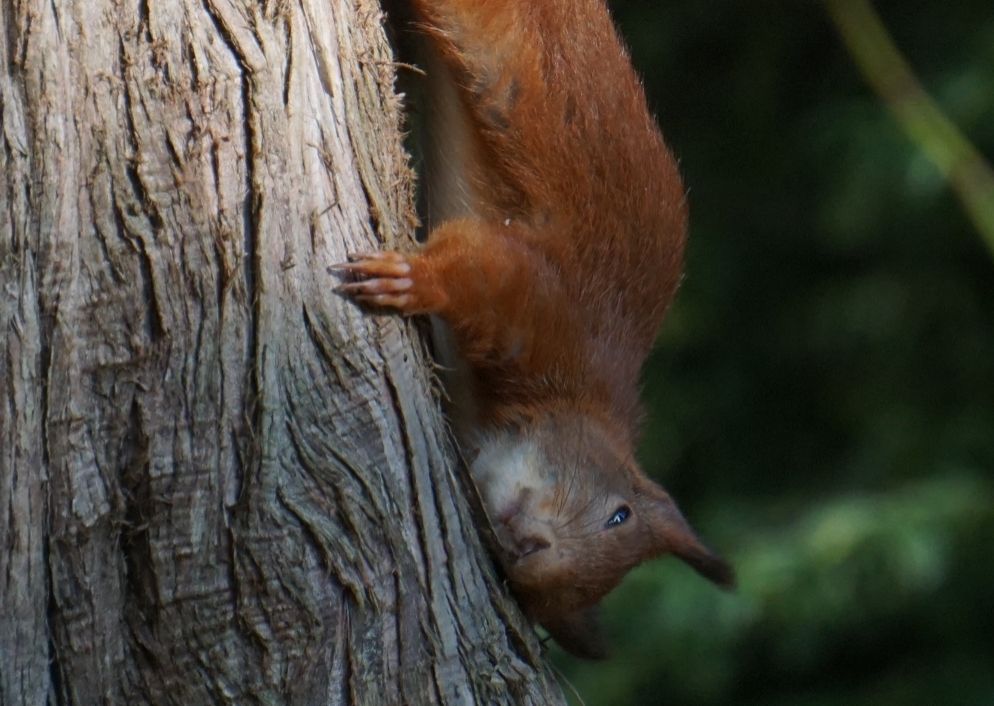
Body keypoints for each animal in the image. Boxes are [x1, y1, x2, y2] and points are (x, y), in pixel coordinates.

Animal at [333, 0, 734, 658]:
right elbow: (484, 267)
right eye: (619, 514)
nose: (529, 548)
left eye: (529, 589)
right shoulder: (555, 317)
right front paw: (416, 281)